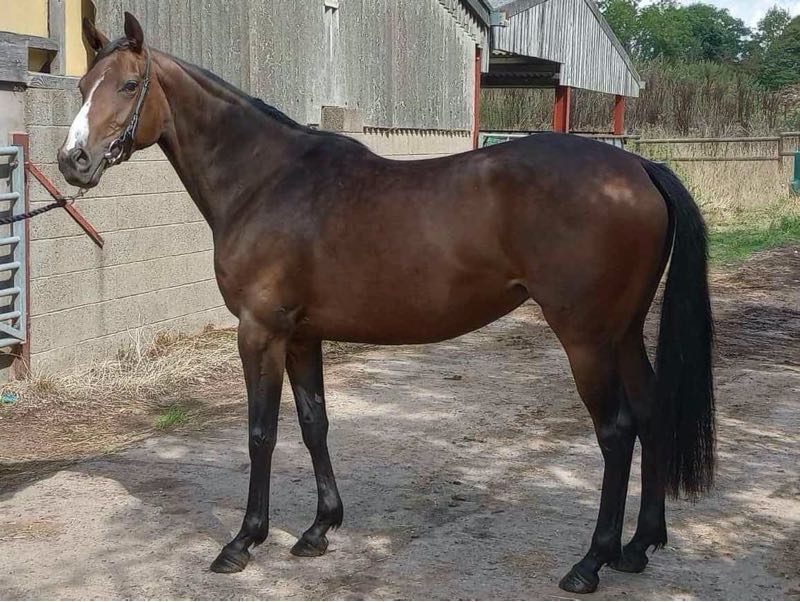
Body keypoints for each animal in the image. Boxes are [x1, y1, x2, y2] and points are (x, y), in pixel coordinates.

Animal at [57, 12, 714, 594]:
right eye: (84, 87)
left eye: (130, 84)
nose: (73, 161)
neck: (266, 180)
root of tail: (639, 165)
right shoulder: (302, 334)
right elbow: (314, 423)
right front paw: (319, 529)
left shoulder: (260, 331)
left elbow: (261, 432)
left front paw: (243, 541)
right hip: (623, 332)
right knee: (650, 411)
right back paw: (638, 547)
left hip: (585, 338)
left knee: (616, 431)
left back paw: (590, 562)